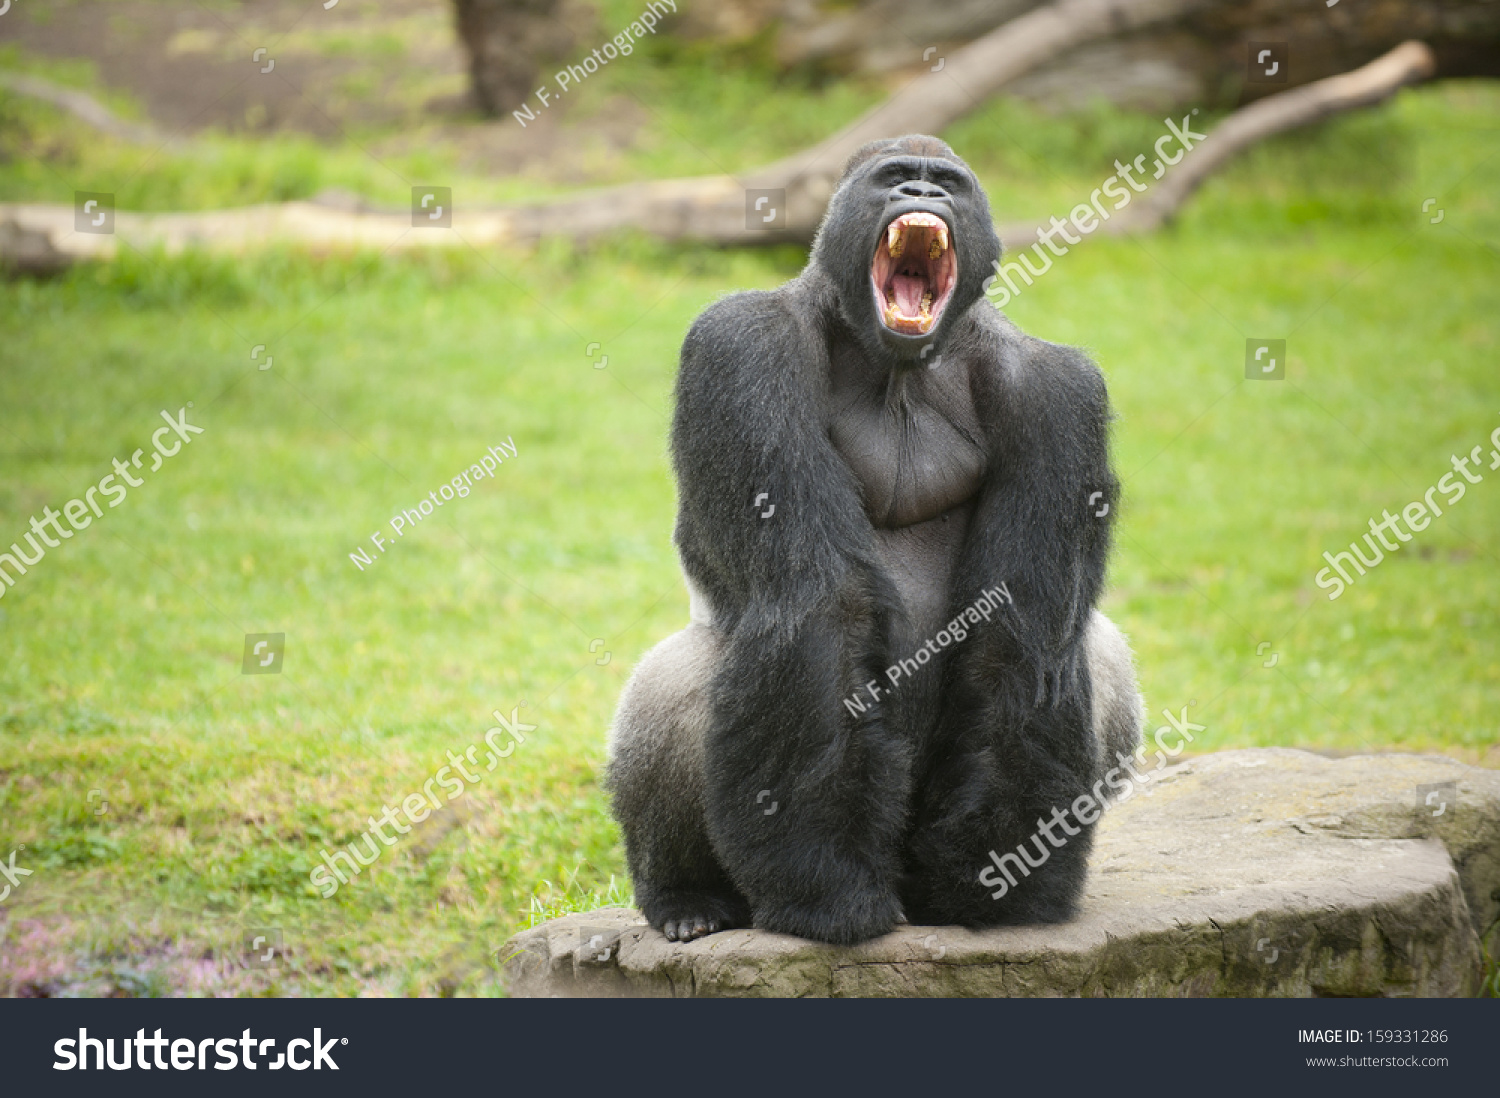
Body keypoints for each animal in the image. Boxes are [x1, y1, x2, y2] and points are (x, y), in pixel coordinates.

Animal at [603, 135, 1140, 942]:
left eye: (948, 184)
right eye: (894, 179)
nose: (921, 192)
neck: (898, 367)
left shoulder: (1060, 389)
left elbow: (1019, 633)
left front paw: (999, 879)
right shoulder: (743, 344)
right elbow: (826, 604)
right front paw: (828, 887)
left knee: (1096, 651)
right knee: (679, 673)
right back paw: (685, 895)